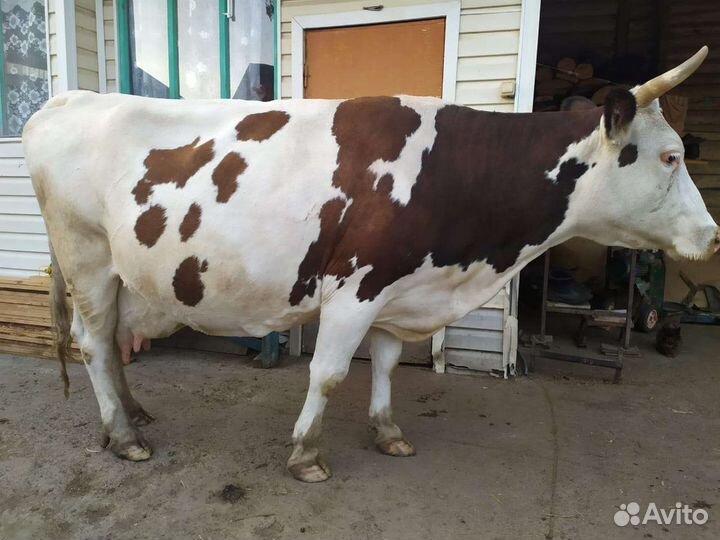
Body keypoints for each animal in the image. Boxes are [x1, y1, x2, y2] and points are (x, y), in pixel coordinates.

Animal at [22, 47, 718, 482]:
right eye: (669, 157)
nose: (713, 236)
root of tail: (66, 100)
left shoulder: (400, 289)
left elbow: (385, 365)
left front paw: (387, 433)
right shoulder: (355, 287)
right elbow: (329, 373)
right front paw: (306, 454)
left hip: (119, 275)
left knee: (113, 341)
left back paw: (132, 413)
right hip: (87, 256)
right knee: (93, 343)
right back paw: (124, 437)